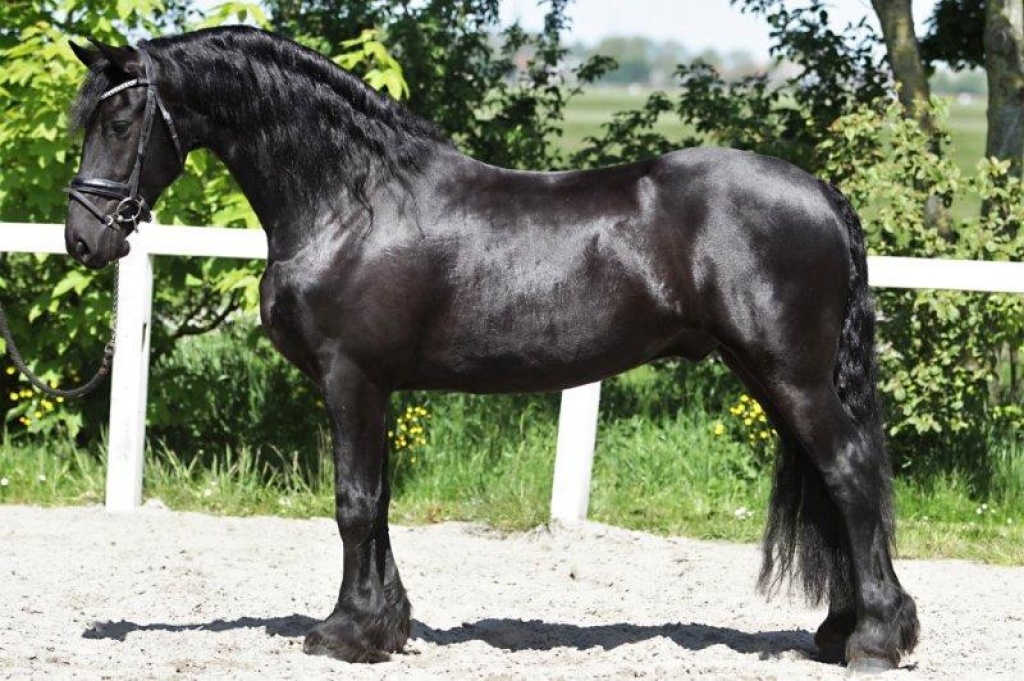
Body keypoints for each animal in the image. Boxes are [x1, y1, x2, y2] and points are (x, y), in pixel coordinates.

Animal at [63, 26, 918, 670]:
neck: (352, 201)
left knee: (850, 474)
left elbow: (353, 502)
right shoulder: (374, 387)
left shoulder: (351, 377)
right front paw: (387, 624)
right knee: (833, 481)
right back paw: (842, 628)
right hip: (770, 376)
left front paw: (345, 632)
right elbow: (379, 503)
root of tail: (822, 194)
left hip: (793, 377)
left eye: (119, 122)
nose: (83, 239)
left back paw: (876, 638)